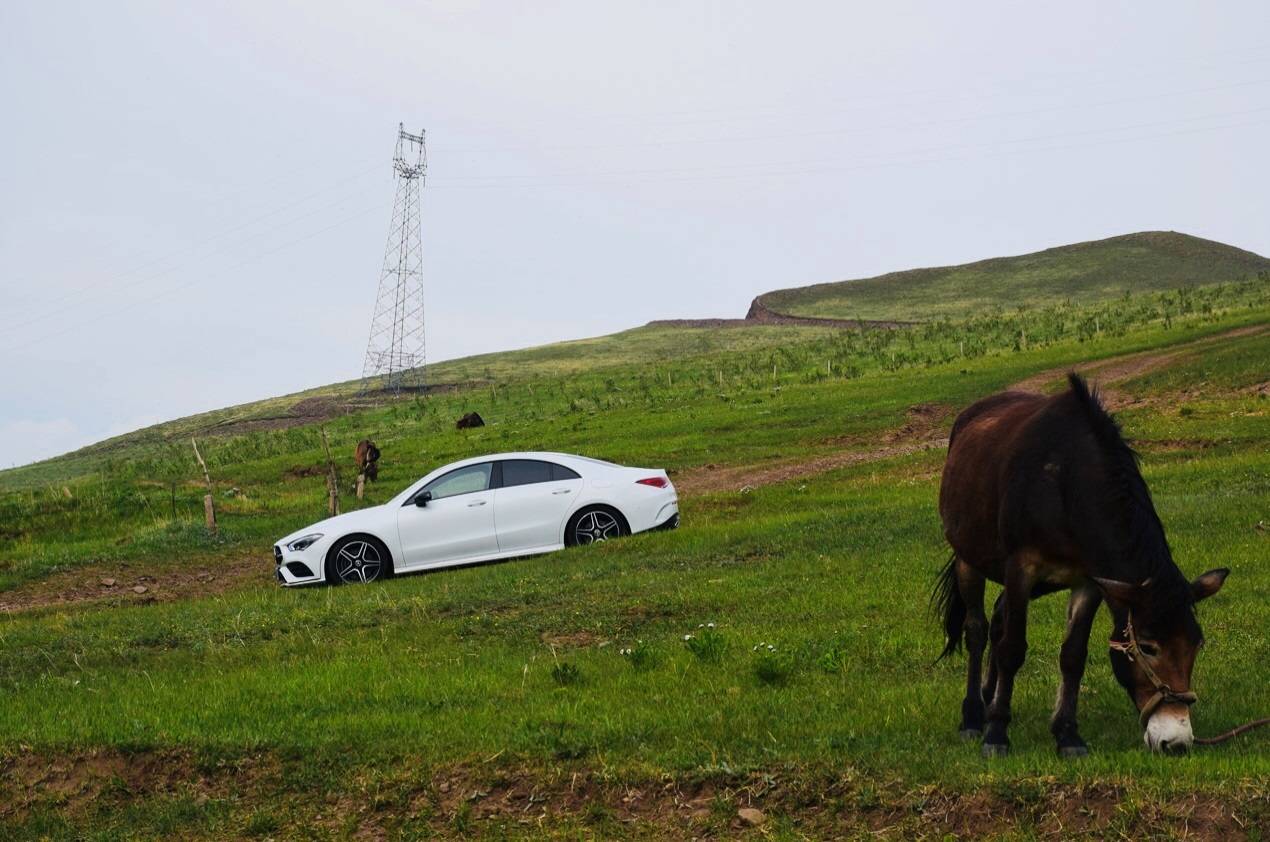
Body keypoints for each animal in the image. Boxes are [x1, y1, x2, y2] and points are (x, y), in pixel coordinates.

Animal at [934, 375, 1229, 756]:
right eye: (1149, 646)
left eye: (1196, 644)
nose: (1175, 741)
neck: (1065, 481)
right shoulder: (1021, 569)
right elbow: (1013, 649)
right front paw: (997, 734)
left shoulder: (1089, 580)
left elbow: (1073, 656)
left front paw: (1067, 735)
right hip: (969, 561)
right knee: (978, 631)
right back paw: (973, 715)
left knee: (998, 621)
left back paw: (988, 699)